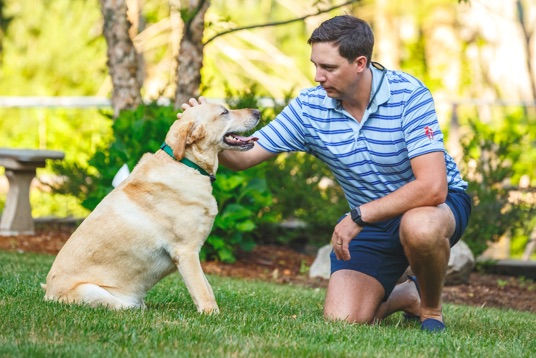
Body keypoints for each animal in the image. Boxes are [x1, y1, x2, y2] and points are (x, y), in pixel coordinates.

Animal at [42, 103, 260, 314]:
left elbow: (206, 287)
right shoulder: (186, 251)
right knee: (123, 307)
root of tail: (47, 294)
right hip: (92, 291)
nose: (258, 112)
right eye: (224, 112)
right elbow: (203, 291)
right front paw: (212, 315)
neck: (187, 164)